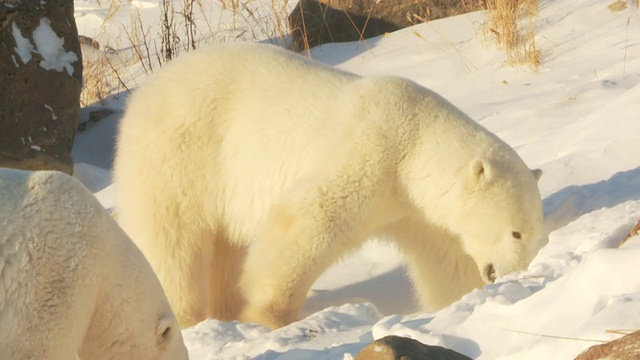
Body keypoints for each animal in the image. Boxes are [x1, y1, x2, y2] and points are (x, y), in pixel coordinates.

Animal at [112, 41, 544, 330]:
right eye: (515, 232)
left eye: (536, 237)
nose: (510, 274)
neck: (416, 137)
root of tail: (145, 91)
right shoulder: (369, 150)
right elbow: (309, 219)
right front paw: (271, 315)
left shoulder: (415, 210)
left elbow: (445, 258)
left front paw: (459, 301)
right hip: (180, 153)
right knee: (172, 240)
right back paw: (186, 316)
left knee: (223, 247)